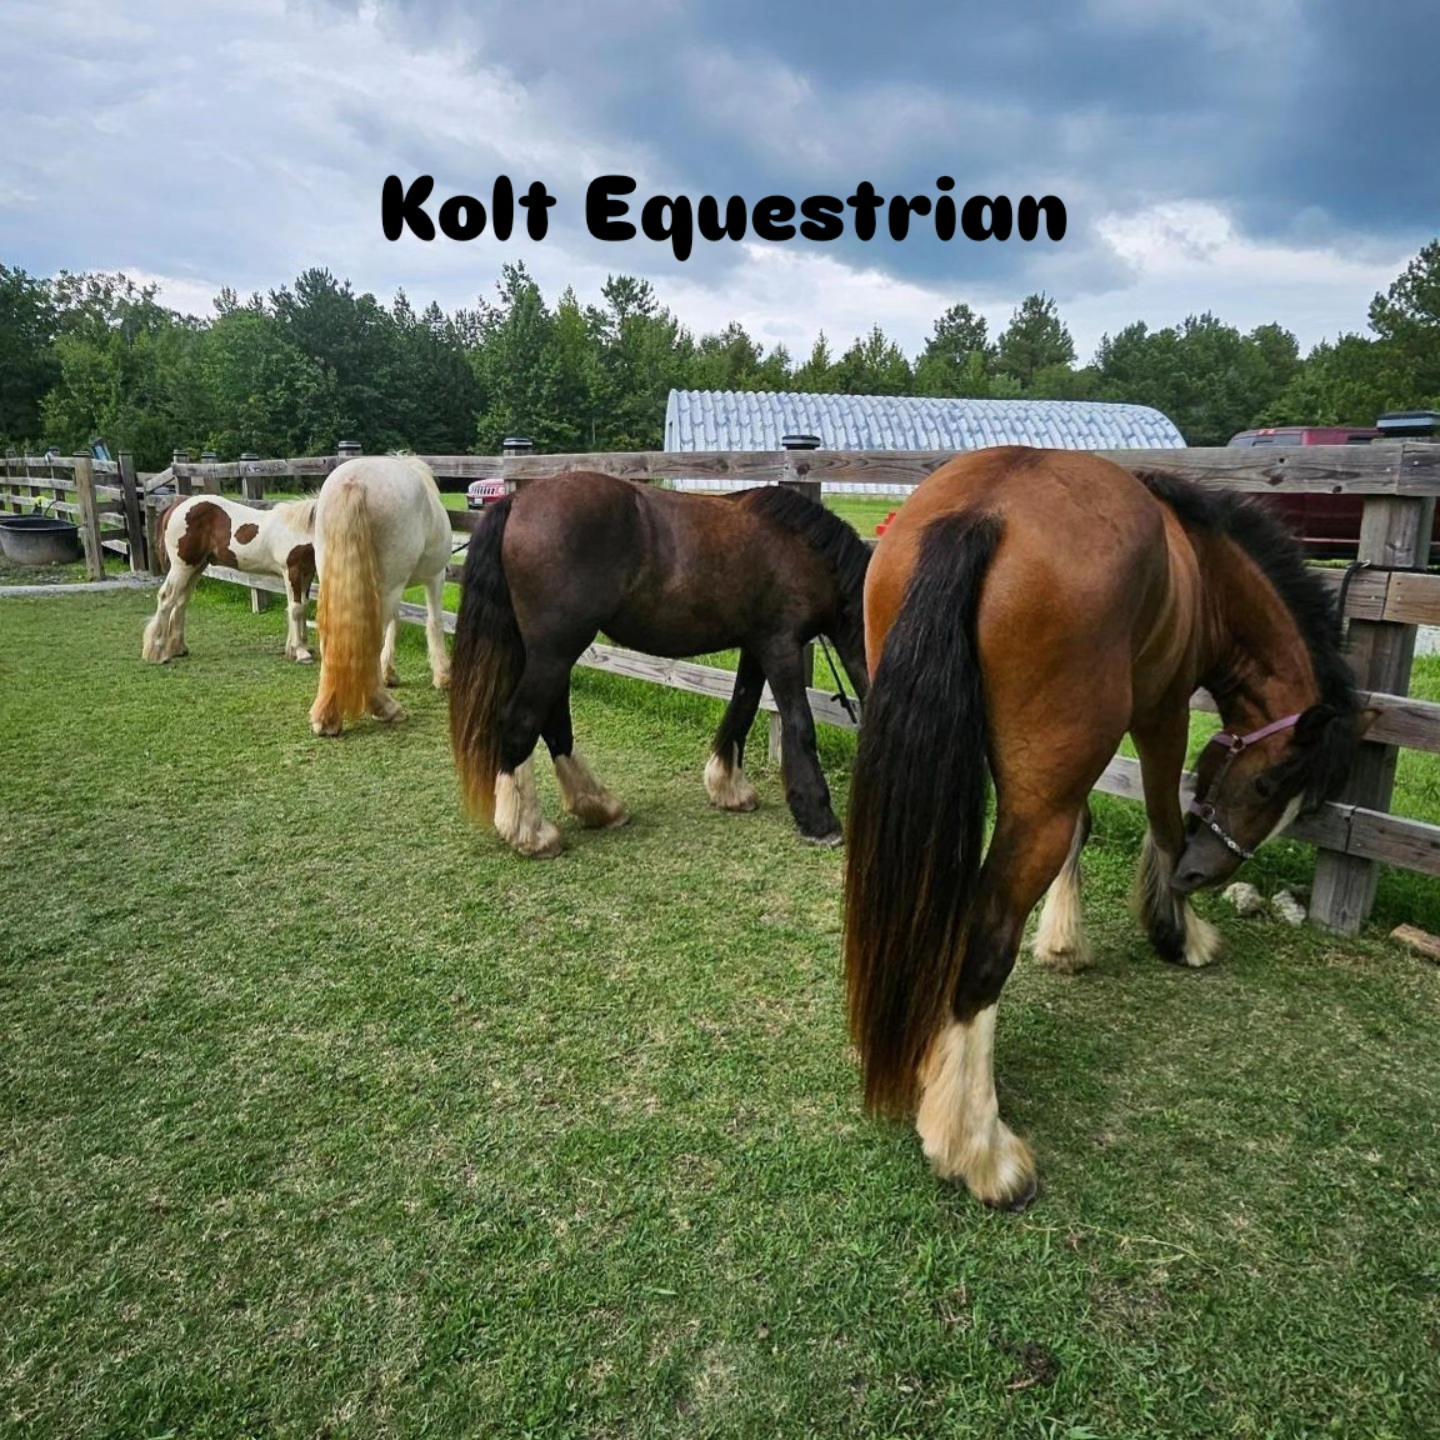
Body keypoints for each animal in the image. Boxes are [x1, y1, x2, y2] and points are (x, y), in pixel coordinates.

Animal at [142, 495, 316, 664]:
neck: (300, 528)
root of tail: (177, 504)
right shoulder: (292, 572)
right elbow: (296, 609)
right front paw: (301, 653)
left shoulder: (307, 574)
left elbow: (304, 606)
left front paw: (301, 648)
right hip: (181, 566)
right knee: (166, 598)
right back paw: (158, 653)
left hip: (196, 566)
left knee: (181, 601)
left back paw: (179, 649)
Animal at [308, 455, 454, 737]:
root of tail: (353, 482)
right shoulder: (436, 577)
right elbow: (434, 622)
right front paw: (443, 676)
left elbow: (395, 625)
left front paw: (390, 673)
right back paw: (385, 708)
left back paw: (326, 716)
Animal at [449, 473, 871, 858]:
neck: (801, 550)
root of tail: (517, 502)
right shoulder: (780, 647)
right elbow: (800, 725)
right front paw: (819, 819)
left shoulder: (756, 647)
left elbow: (742, 709)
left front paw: (728, 788)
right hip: (554, 653)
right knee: (521, 722)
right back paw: (531, 833)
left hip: (552, 656)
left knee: (554, 724)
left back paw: (598, 806)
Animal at [844, 446, 1370, 1210]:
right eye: (1270, 786)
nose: (1204, 875)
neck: (1203, 564)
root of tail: (983, 511)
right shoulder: (1164, 711)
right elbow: (1164, 817)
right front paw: (1180, 932)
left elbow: (1088, 826)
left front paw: (1066, 942)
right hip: (1045, 791)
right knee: (985, 943)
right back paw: (979, 1150)